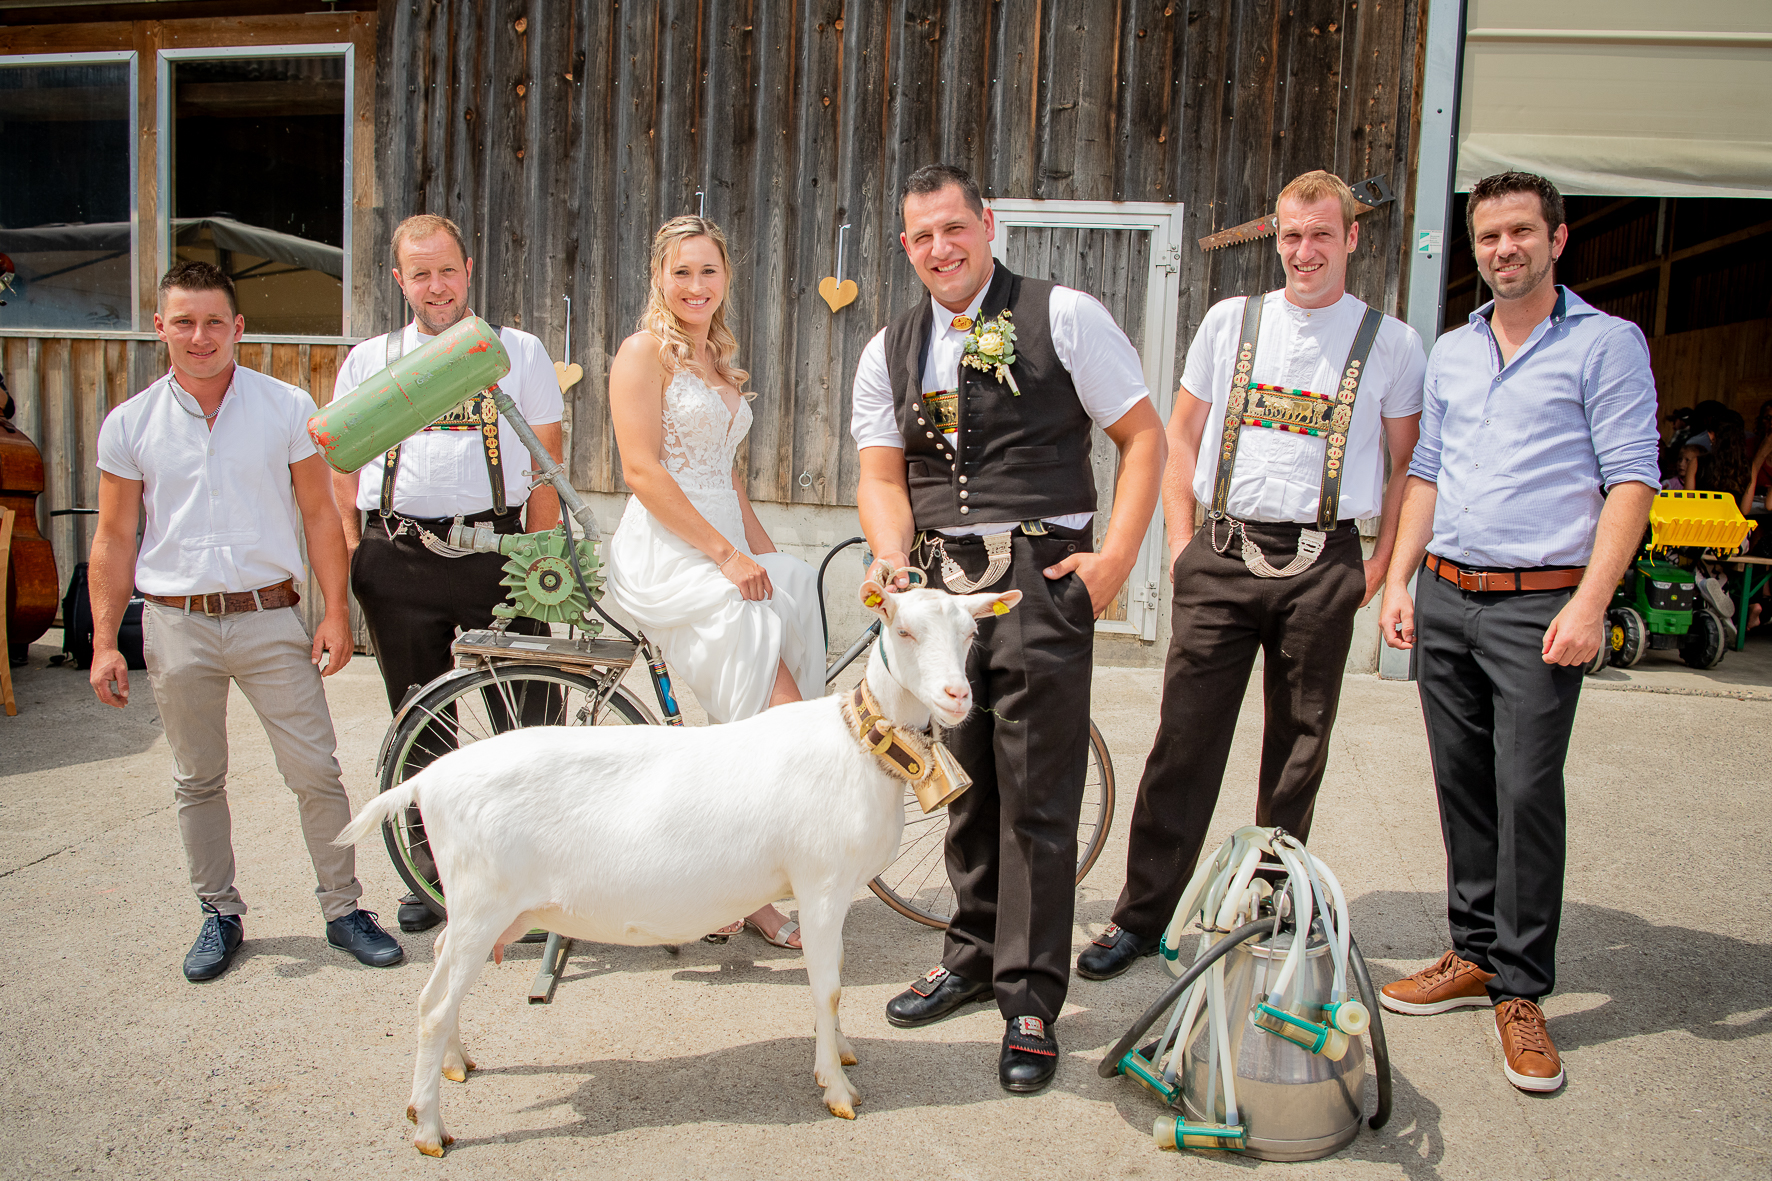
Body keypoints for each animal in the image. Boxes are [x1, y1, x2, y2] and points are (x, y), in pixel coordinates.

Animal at [334, 578, 1021, 1157]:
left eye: (970, 633)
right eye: (902, 630)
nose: (957, 696)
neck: (857, 744)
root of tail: (427, 780)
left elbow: (836, 981)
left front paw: (843, 1052)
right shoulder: (821, 884)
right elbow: (827, 985)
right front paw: (837, 1090)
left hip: (481, 907)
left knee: (442, 974)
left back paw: (458, 1063)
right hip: (483, 902)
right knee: (431, 1004)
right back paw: (429, 1129)